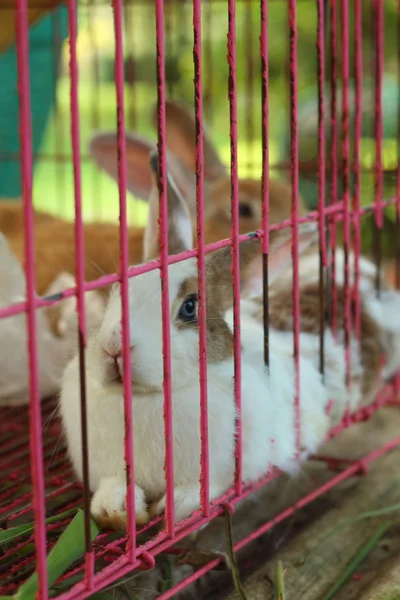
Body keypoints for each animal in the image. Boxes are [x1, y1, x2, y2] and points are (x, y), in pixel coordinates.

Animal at [58, 152, 332, 528]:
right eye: (116, 289)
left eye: (189, 307)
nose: (114, 347)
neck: (147, 397)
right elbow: (114, 487)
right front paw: (115, 511)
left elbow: (204, 490)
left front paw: (174, 507)